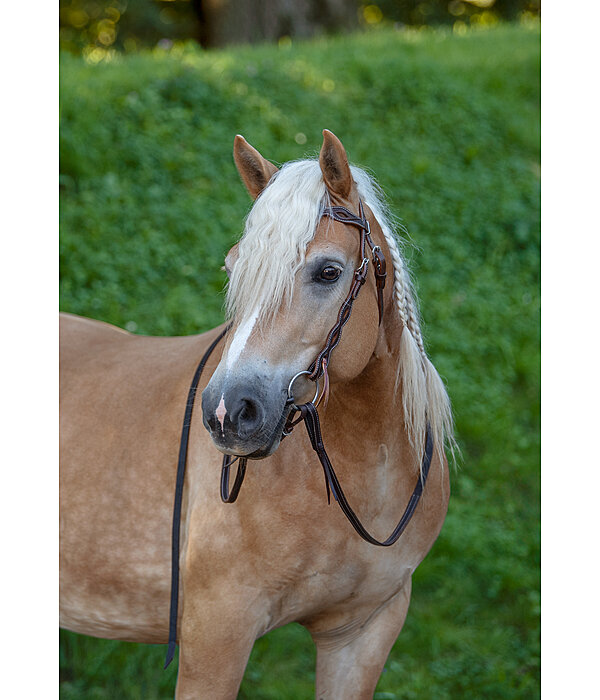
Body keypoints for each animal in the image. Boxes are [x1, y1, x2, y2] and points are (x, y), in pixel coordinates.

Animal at [62, 129, 454, 696]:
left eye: (329, 272)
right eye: (233, 267)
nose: (229, 411)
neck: (367, 472)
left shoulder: (363, 632)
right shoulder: (216, 636)